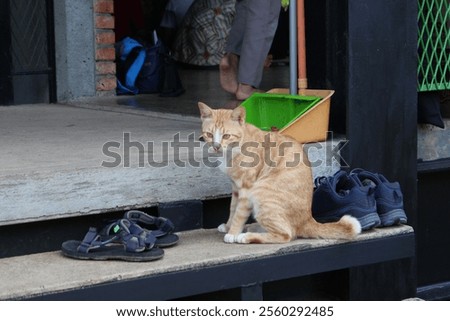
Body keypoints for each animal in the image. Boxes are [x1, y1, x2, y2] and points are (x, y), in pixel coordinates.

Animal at [199, 102, 360, 242]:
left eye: (226, 136)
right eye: (209, 134)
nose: (216, 146)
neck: (233, 151)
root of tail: (308, 219)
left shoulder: (246, 187)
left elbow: (239, 213)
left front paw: (233, 233)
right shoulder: (235, 187)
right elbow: (232, 208)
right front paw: (228, 226)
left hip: (261, 192)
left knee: (286, 235)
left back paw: (246, 236)